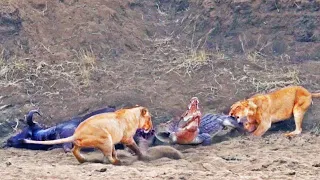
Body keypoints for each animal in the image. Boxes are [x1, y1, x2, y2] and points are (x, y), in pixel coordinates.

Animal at [23, 105, 153, 166]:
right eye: (149, 118)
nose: (151, 129)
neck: (133, 115)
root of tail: (77, 132)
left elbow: (115, 151)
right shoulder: (127, 139)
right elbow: (136, 148)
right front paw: (144, 157)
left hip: (88, 142)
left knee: (75, 150)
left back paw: (83, 160)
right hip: (106, 139)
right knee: (108, 157)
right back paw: (118, 163)